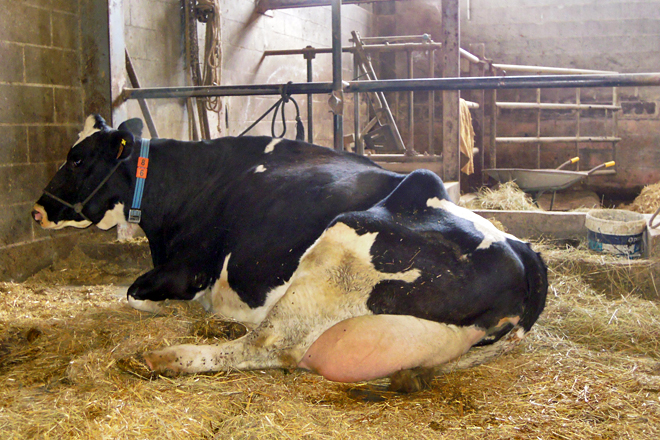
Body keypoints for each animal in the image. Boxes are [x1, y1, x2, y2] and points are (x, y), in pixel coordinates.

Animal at [32, 114, 547, 391]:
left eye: (77, 158)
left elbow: (134, 294)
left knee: (268, 345)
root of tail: (525, 254)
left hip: (339, 250)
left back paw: (162, 358)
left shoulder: (186, 271)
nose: (37, 211)